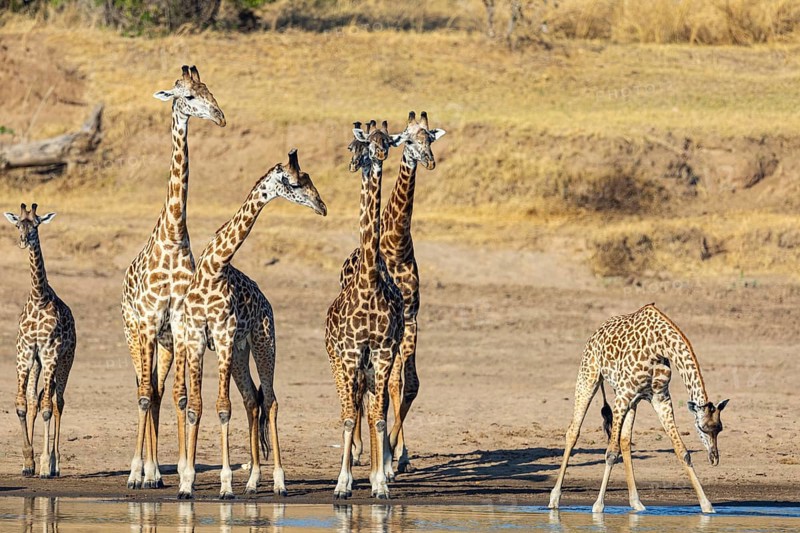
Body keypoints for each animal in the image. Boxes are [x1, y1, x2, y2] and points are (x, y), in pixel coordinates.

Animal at [4, 203, 76, 479]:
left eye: (36, 225)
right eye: (18, 225)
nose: (24, 240)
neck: (38, 297)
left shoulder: (50, 352)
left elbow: (47, 408)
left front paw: (45, 465)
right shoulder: (25, 353)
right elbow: (23, 405)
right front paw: (28, 462)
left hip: (65, 360)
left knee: (57, 402)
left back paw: (56, 464)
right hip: (37, 364)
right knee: (37, 399)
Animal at [178, 149, 327, 499]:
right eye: (297, 182)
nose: (322, 206)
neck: (214, 268)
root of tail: (268, 303)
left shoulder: (222, 336)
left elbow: (222, 407)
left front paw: (225, 486)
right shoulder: (196, 338)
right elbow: (195, 407)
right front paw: (187, 483)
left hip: (263, 344)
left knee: (270, 401)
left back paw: (279, 482)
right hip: (239, 354)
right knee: (251, 401)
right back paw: (252, 480)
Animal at [339, 111, 446, 473]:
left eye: (430, 137)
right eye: (410, 140)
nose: (429, 160)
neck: (397, 246)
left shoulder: (411, 317)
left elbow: (406, 384)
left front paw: (398, 454)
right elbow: (386, 387)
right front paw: (383, 454)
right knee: (364, 388)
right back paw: (360, 449)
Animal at [548, 303, 729, 514]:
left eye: (720, 428)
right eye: (702, 428)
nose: (714, 458)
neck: (658, 347)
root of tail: (597, 331)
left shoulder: (660, 397)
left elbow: (682, 451)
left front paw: (707, 506)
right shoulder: (623, 394)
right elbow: (611, 453)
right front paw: (598, 506)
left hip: (632, 401)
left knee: (625, 440)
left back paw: (636, 503)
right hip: (589, 377)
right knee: (573, 431)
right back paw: (554, 499)